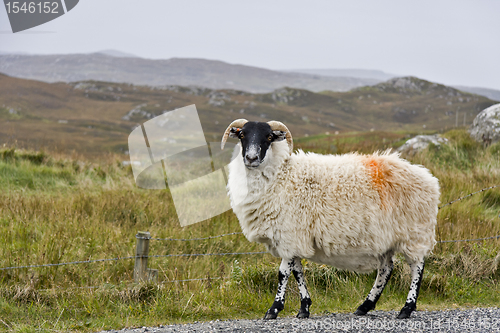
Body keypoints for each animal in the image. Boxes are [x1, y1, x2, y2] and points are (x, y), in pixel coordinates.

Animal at [221, 119, 440, 320]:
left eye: (268, 137)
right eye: (242, 135)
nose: (251, 158)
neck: (281, 174)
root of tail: (428, 177)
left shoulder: (289, 233)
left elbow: (283, 273)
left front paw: (274, 310)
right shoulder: (294, 238)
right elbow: (298, 271)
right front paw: (304, 308)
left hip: (415, 232)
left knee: (417, 267)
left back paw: (406, 309)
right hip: (387, 238)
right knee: (386, 270)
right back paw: (364, 306)